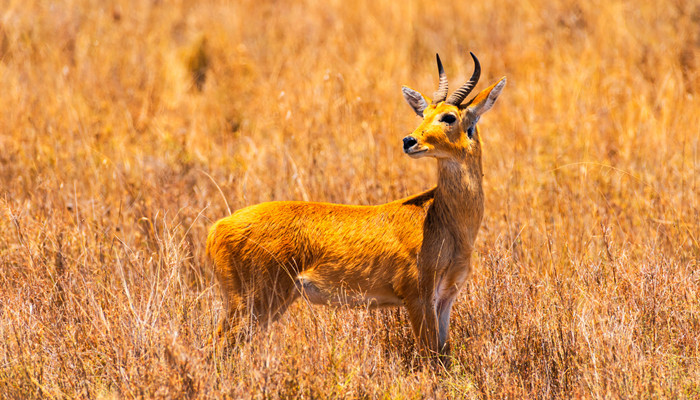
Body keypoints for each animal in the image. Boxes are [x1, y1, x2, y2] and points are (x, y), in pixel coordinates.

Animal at [205, 53, 506, 366]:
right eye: (422, 115)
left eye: (449, 116)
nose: (409, 141)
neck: (442, 218)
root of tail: (218, 227)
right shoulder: (418, 296)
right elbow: (430, 356)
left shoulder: (446, 297)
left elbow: (443, 354)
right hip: (251, 302)